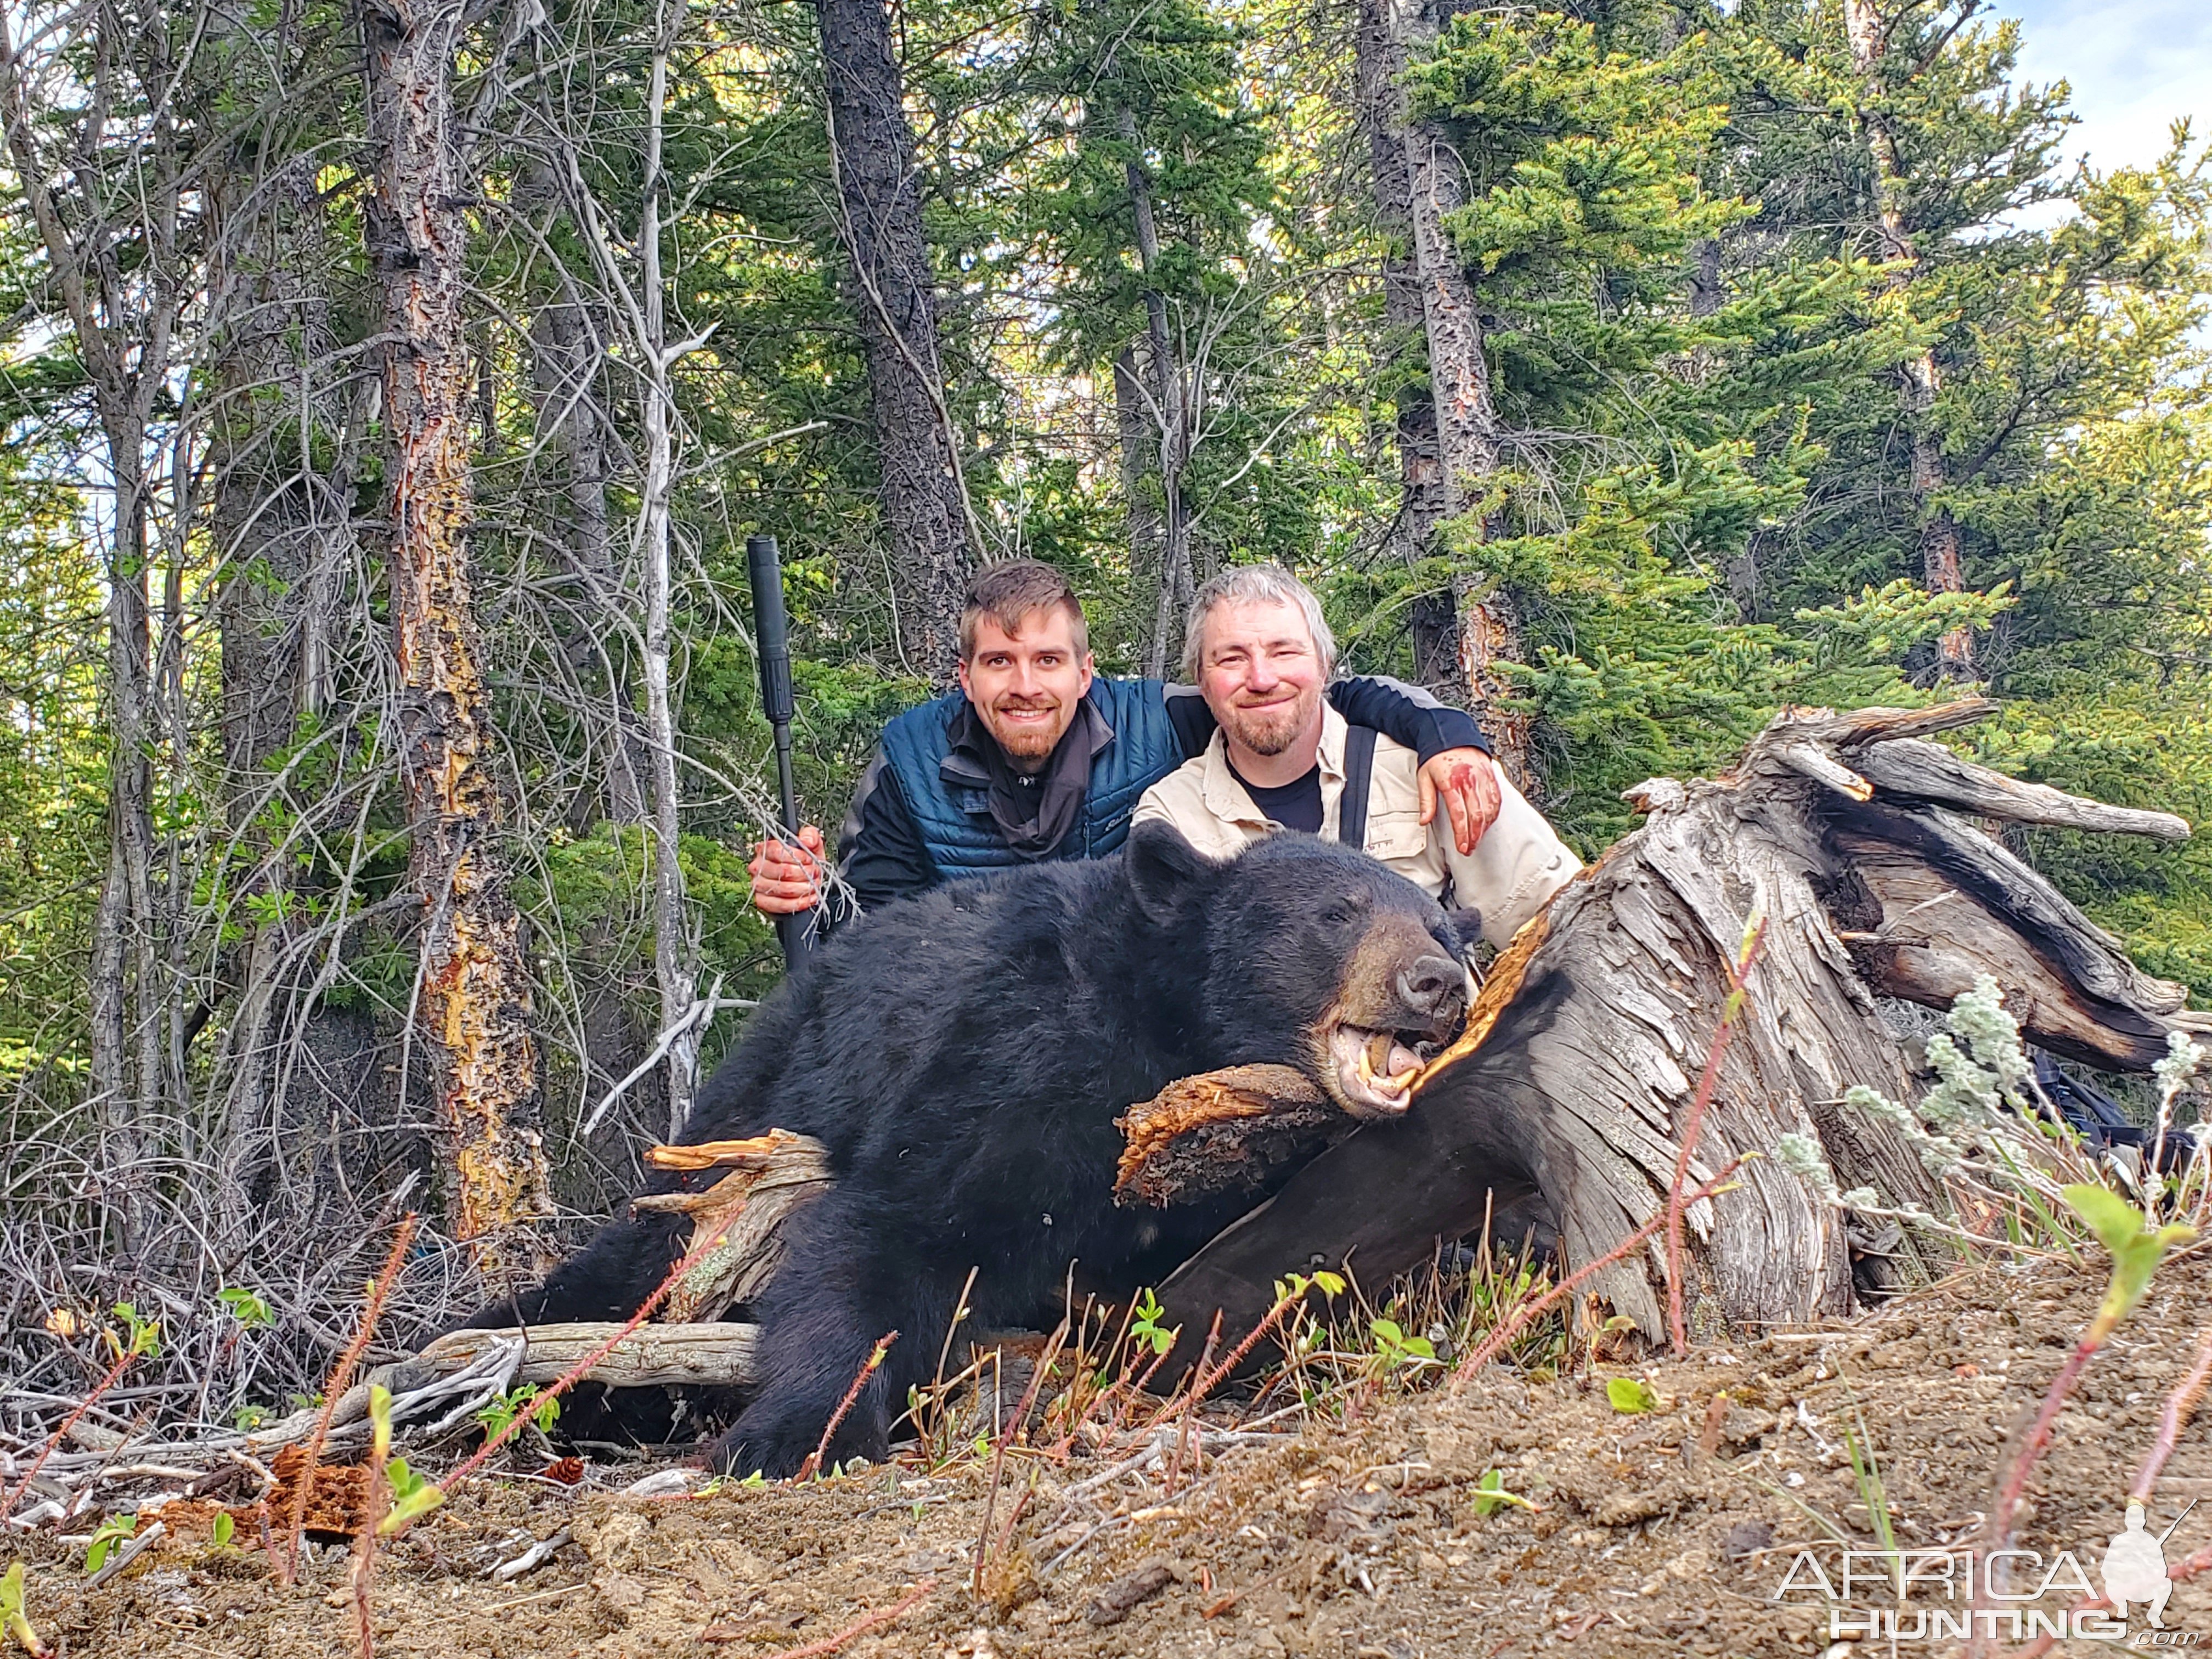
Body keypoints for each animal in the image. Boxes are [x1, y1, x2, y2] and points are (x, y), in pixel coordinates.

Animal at [473, 827, 1460, 1477]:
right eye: (1336, 913)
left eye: (1439, 925)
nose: (1437, 980)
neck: (1170, 1027)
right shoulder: (1027, 1053)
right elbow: (895, 1227)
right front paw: (792, 1433)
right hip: (741, 1125)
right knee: (629, 1274)